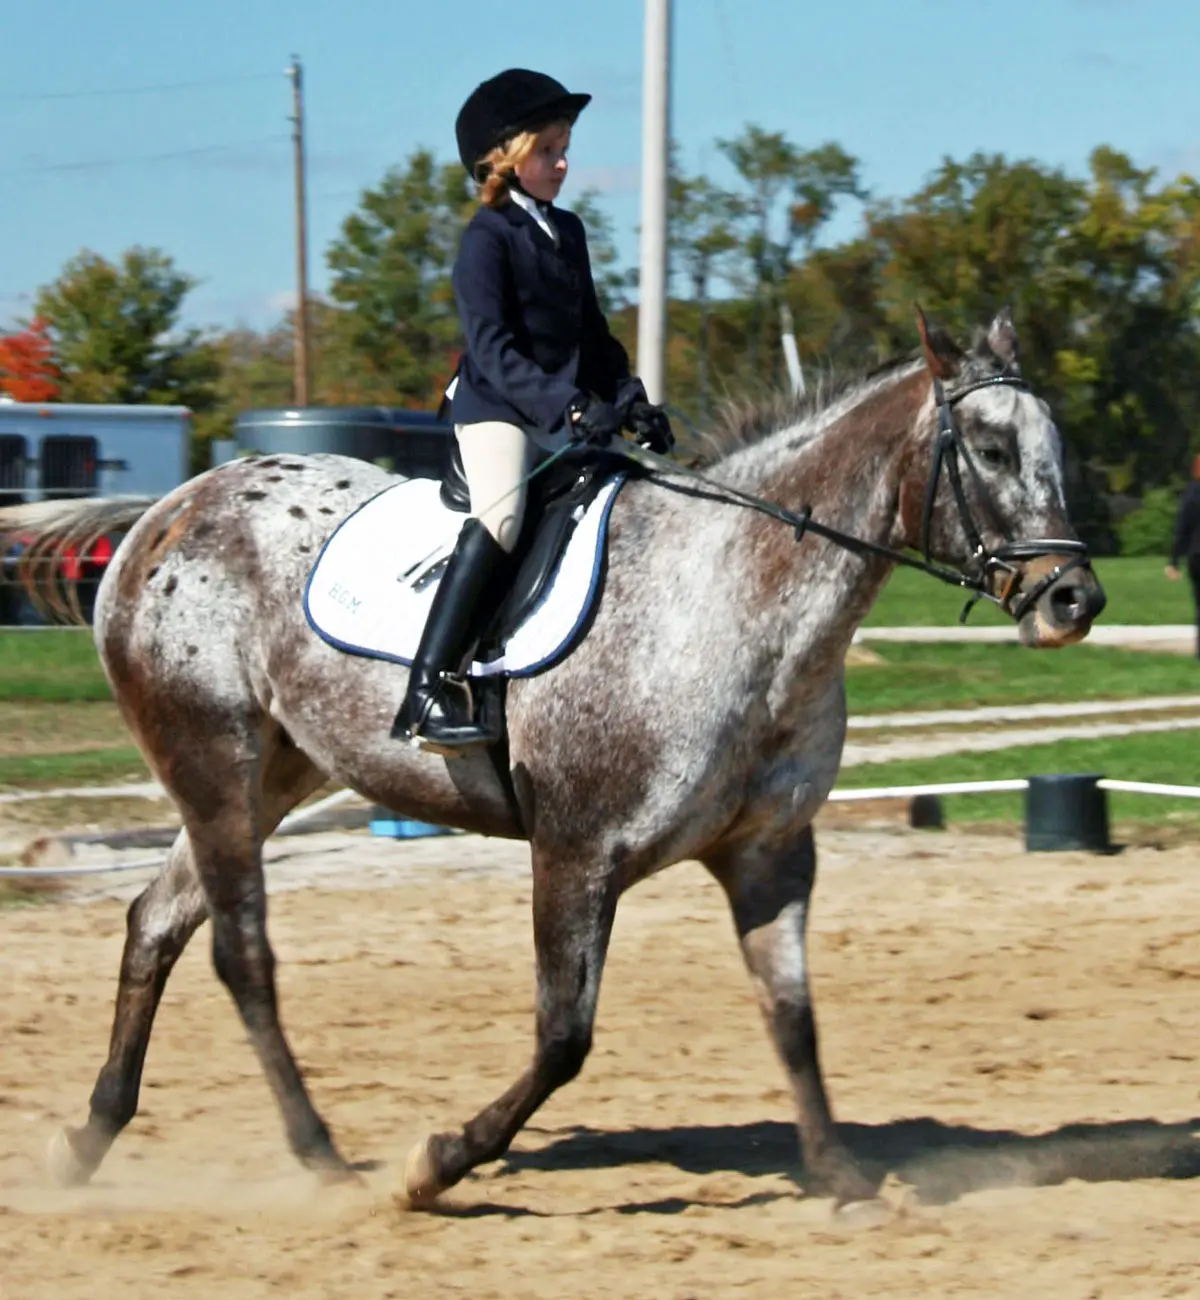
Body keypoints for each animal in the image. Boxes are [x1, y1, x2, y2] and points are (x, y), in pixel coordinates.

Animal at [2, 309, 1105, 1211]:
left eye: (1057, 446)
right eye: (991, 447)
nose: (1074, 600)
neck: (733, 602)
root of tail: (169, 510)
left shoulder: (771, 854)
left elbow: (793, 1018)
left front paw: (844, 1181)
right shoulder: (577, 852)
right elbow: (563, 1036)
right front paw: (437, 1161)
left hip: (272, 773)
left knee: (156, 923)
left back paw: (89, 1141)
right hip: (213, 763)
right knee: (239, 951)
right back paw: (320, 1156)